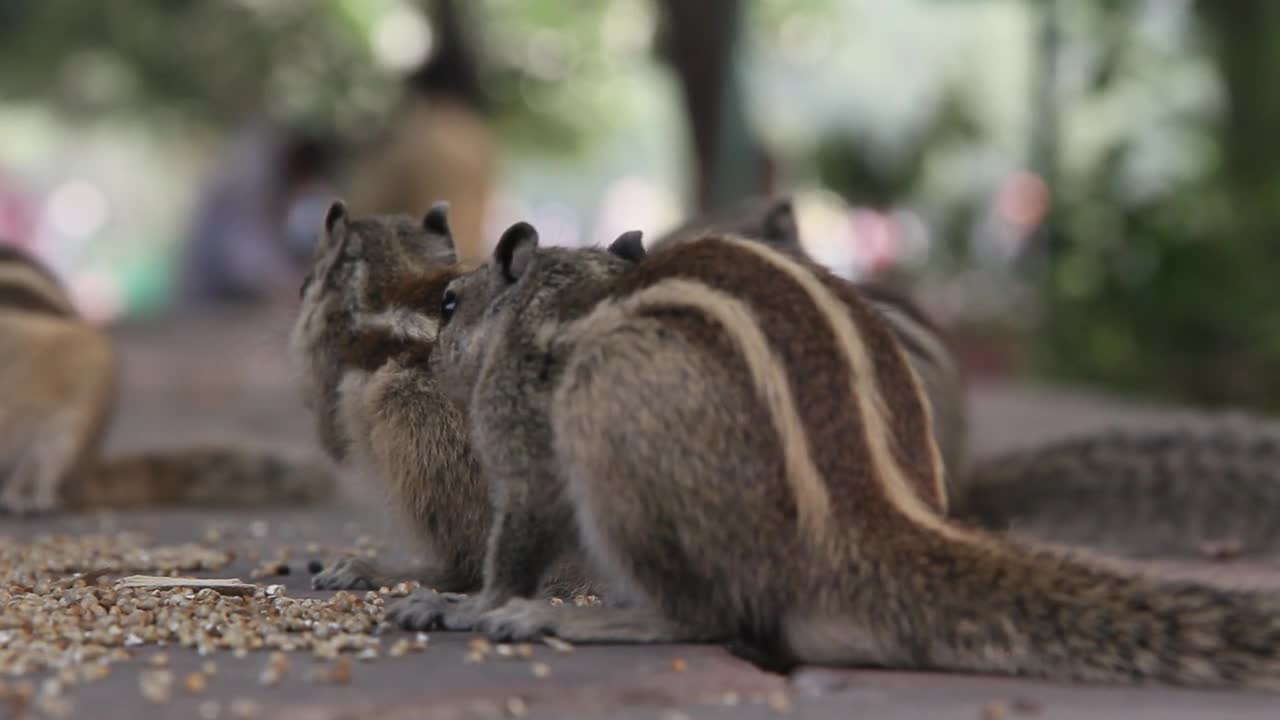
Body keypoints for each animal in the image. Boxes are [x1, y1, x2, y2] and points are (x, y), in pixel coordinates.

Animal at [386, 220, 1280, 691]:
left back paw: (584, 619)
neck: (561, 291)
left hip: (614, 422)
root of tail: (863, 528)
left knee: (699, 614)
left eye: (450, 303)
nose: (420, 360)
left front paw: (461, 604)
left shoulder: (521, 438)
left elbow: (516, 537)